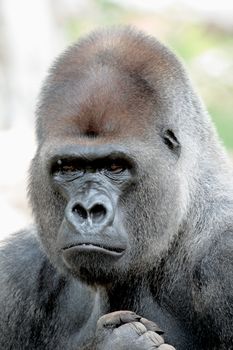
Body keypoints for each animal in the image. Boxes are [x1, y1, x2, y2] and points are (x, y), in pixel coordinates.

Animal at [0, 27, 233, 350]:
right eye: (68, 168)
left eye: (114, 166)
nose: (87, 210)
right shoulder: (12, 273)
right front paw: (117, 342)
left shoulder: (225, 258)